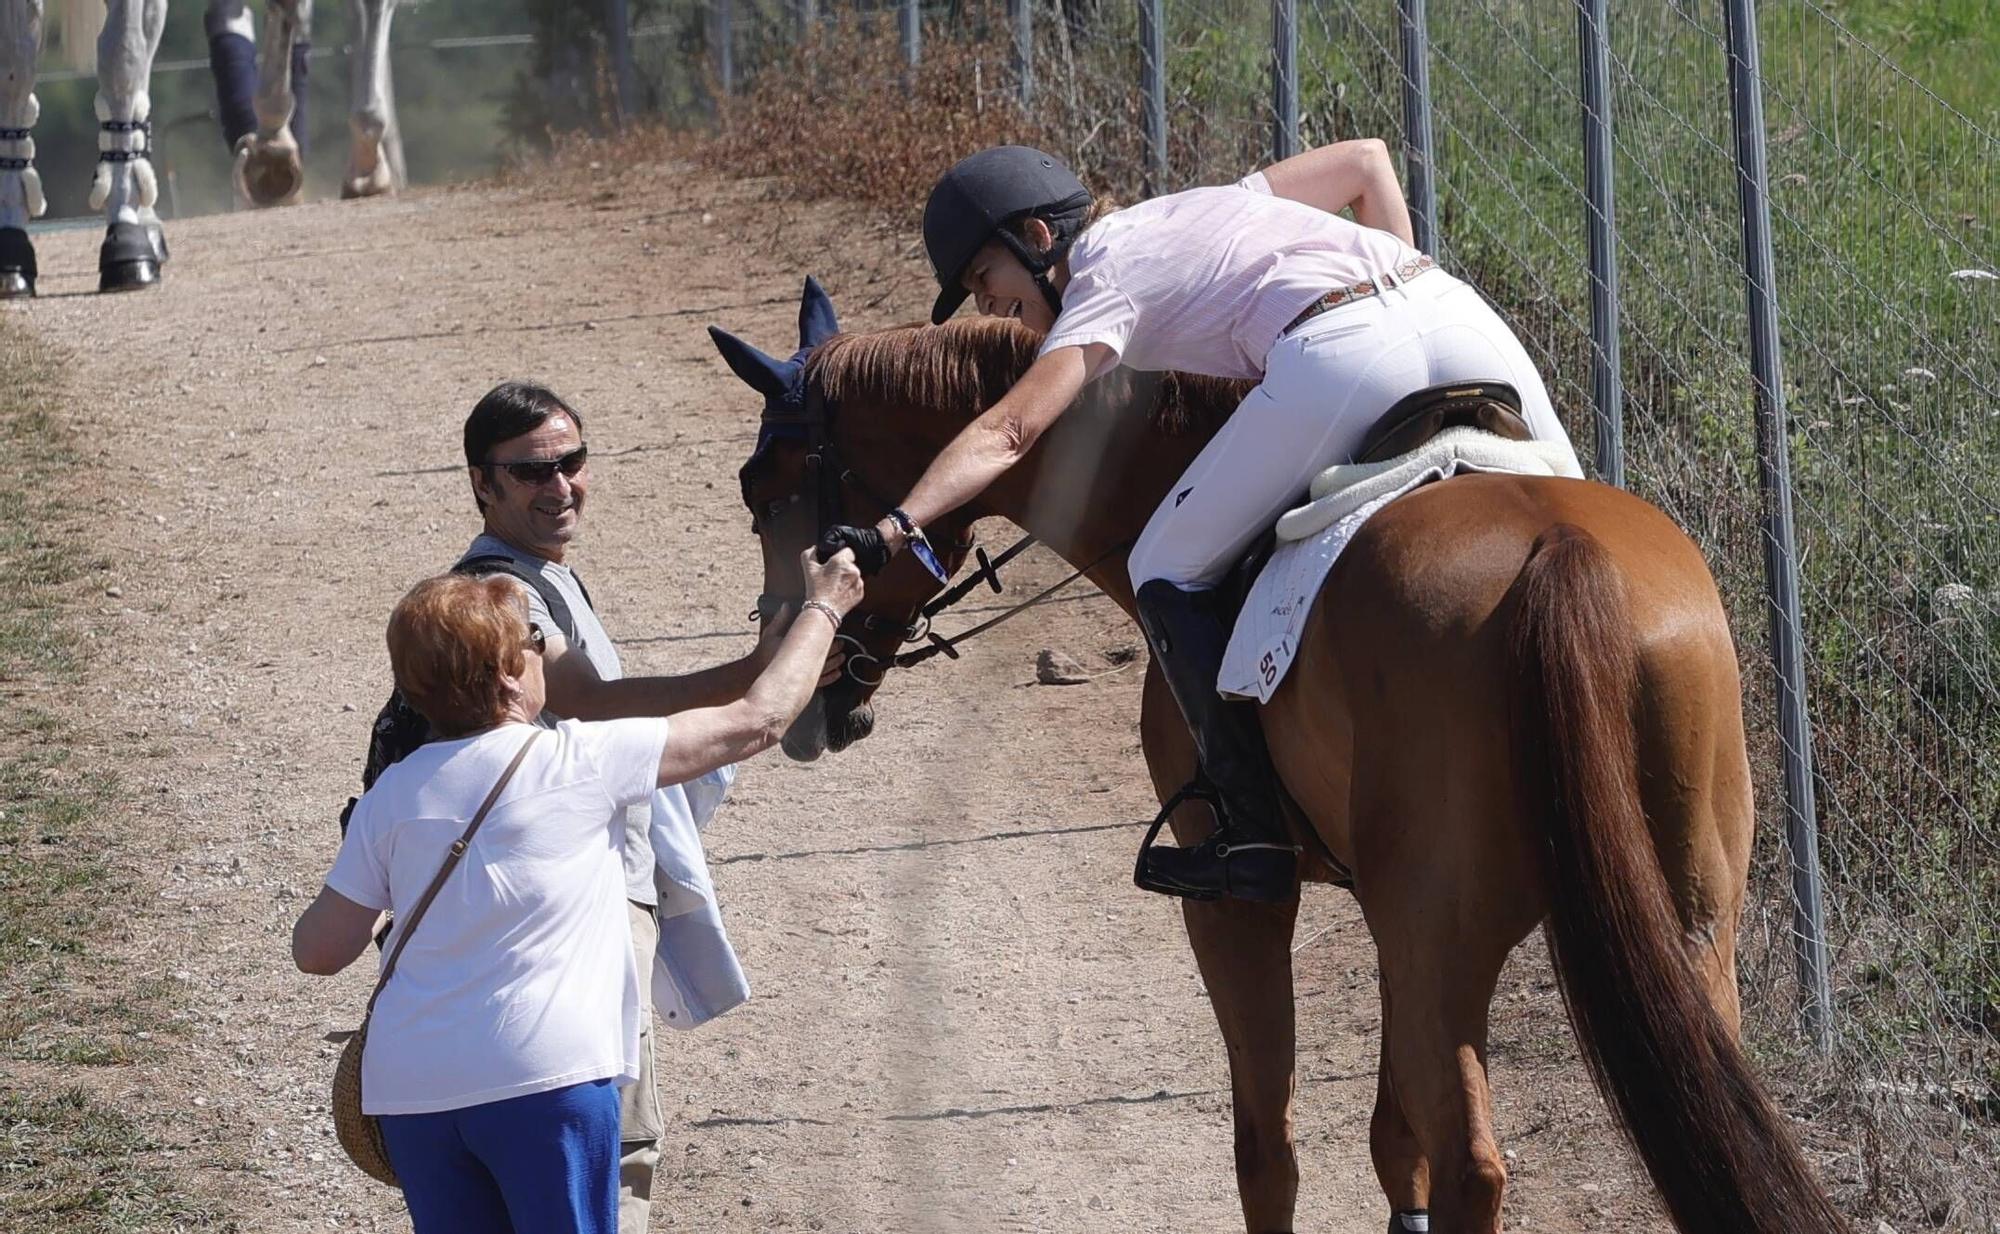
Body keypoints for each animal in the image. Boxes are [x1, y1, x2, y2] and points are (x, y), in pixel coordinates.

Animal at [716, 292, 1840, 1232]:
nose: (798, 691)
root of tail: (1562, 557)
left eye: (766, 490)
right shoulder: (1387, 924)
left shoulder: (1239, 904)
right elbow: (1391, 1140)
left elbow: (1267, 1146)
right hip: (1677, 929)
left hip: (1446, 937)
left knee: (1473, 1164)